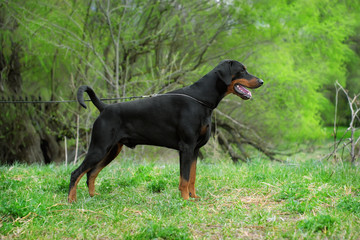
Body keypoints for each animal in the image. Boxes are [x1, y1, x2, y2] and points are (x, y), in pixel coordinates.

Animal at [68, 60, 264, 202]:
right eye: (242, 70)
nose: (261, 81)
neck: (200, 99)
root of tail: (104, 108)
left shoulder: (195, 150)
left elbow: (191, 177)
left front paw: (194, 197)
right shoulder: (186, 147)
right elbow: (184, 178)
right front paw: (185, 200)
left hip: (111, 150)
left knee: (91, 173)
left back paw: (94, 196)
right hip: (99, 147)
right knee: (76, 173)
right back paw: (72, 201)